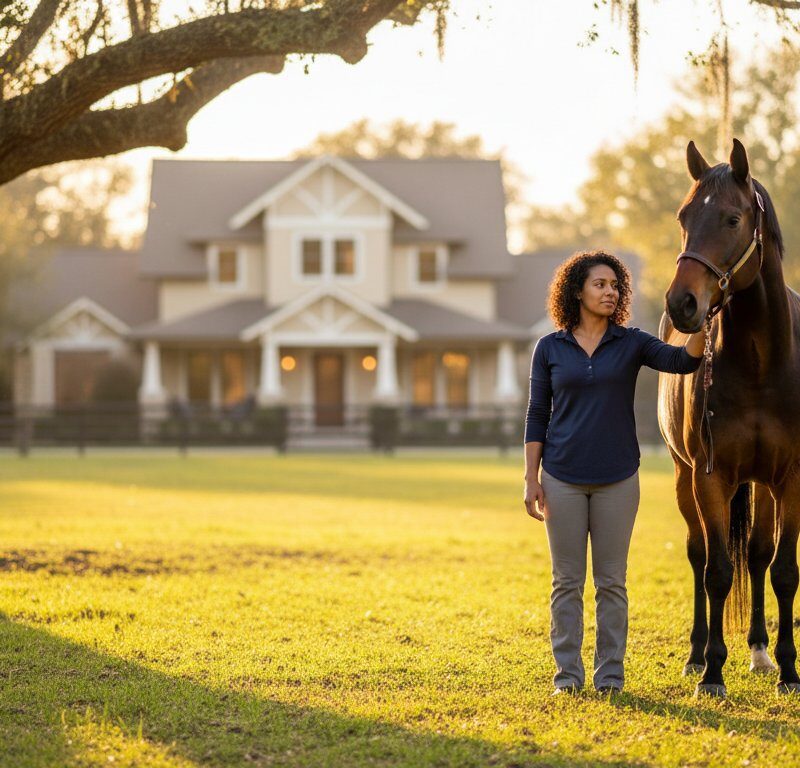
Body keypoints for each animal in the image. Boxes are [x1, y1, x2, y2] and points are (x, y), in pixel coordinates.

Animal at [657, 138, 800, 697]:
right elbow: (716, 570)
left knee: (758, 555)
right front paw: (713, 671)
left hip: (761, 483)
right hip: (685, 477)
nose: (683, 303)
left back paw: (760, 651)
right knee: (698, 555)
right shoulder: (710, 477)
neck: (762, 364)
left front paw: (789, 669)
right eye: (683, 216)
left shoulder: (791, 478)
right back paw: (697, 654)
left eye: (733, 218)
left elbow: (782, 570)